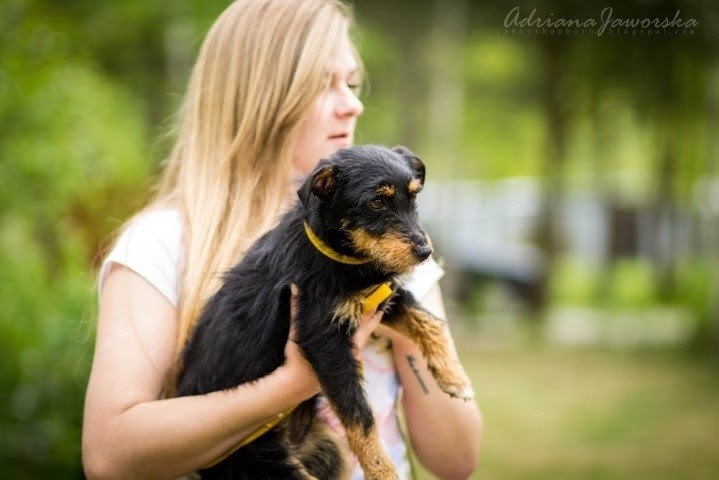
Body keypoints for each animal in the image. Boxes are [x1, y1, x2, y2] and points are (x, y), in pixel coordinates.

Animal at [176, 144, 476, 478]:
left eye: (413, 196)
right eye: (376, 201)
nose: (425, 253)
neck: (342, 257)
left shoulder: (378, 297)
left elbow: (429, 321)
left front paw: (453, 377)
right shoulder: (325, 340)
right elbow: (358, 413)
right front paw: (382, 471)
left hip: (328, 449)